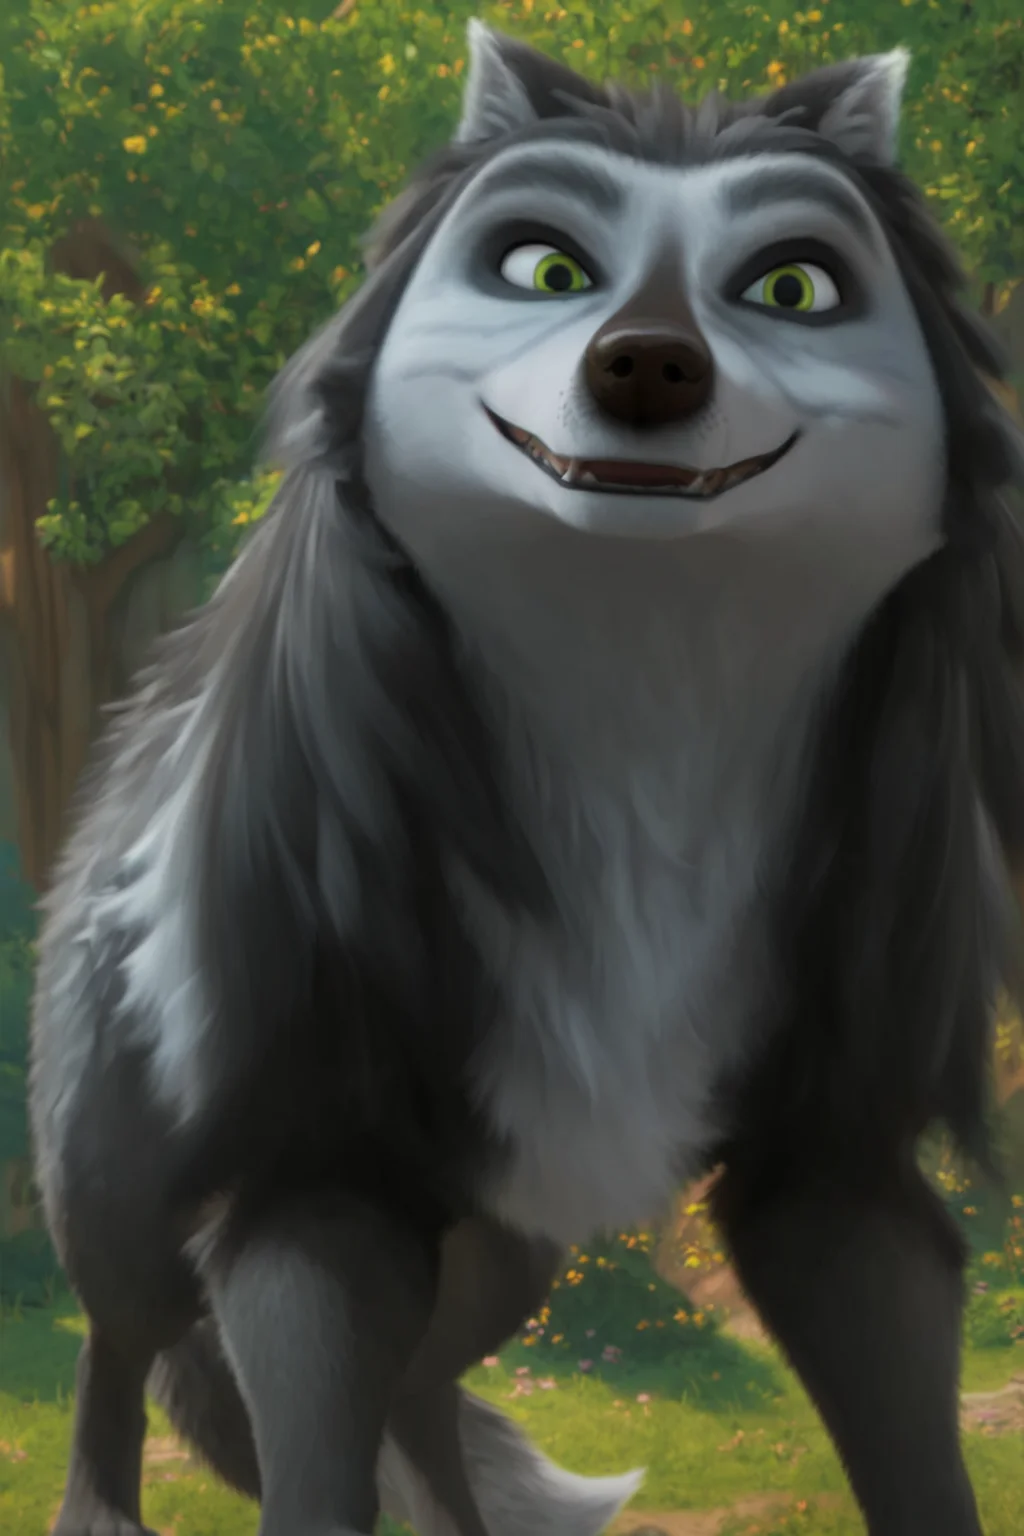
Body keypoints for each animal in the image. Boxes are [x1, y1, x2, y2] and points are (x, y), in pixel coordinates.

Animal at [29, 16, 1024, 1536]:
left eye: (790, 285)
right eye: (545, 269)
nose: (647, 366)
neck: (641, 725)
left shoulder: (832, 1151)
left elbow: (909, 1431)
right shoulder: (317, 1164)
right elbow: (307, 1444)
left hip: (503, 1251)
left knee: (423, 1390)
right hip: (132, 1179)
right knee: (125, 1337)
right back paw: (97, 1513)